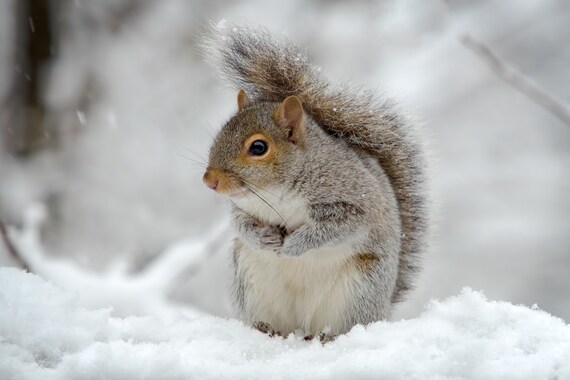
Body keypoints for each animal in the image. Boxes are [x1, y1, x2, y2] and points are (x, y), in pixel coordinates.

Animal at [200, 23, 426, 338]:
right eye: (221, 133)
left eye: (258, 147)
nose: (210, 180)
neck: (276, 191)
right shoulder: (242, 207)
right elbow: (240, 223)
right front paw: (263, 237)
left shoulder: (353, 202)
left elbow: (337, 228)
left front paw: (293, 245)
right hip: (247, 278)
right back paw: (265, 328)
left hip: (360, 288)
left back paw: (325, 336)